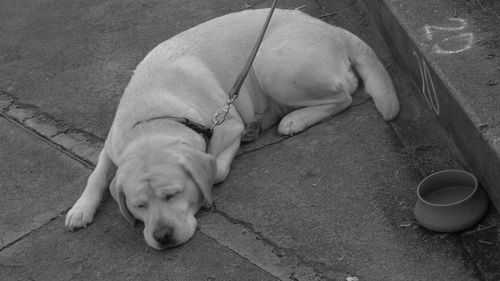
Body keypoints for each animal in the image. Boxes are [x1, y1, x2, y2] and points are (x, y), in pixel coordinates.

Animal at [64, 8, 398, 249]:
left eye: (173, 195)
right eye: (139, 205)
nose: (162, 236)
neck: (154, 120)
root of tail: (330, 28)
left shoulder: (227, 125)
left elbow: (217, 169)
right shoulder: (112, 145)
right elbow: (97, 174)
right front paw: (81, 208)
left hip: (271, 63)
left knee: (345, 95)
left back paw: (294, 120)